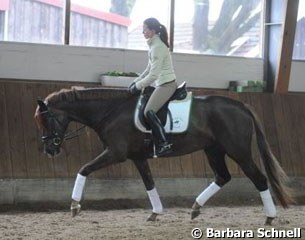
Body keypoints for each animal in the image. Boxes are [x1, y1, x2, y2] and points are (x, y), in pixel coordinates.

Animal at [33, 86, 292, 225]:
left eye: (47, 120)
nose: (50, 150)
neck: (111, 111)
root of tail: (241, 106)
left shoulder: (115, 153)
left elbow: (83, 169)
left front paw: (74, 206)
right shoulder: (137, 157)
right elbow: (149, 183)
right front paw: (155, 213)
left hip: (238, 151)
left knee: (259, 179)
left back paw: (269, 217)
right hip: (213, 149)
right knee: (222, 177)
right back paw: (195, 208)